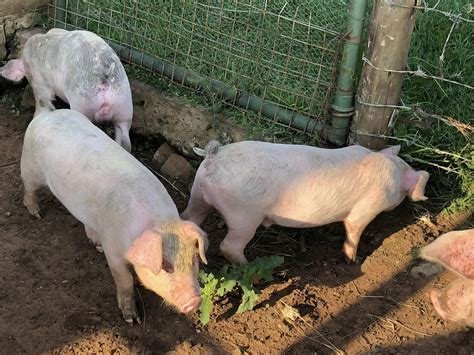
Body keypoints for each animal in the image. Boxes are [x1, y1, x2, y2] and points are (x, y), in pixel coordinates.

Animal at [21, 110, 207, 324]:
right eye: (165, 266)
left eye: (194, 260)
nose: (195, 301)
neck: (159, 223)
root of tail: (46, 113)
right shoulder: (113, 250)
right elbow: (125, 281)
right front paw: (132, 320)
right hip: (30, 168)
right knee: (29, 189)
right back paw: (37, 214)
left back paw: (96, 244)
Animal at [181, 140, 430, 266]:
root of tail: (214, 155)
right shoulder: (366, 209)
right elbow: (354, 231)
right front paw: (353, 260)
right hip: (243, 214)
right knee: (229, 246)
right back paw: (249, 266)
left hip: (198, 194)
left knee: (189, 218)